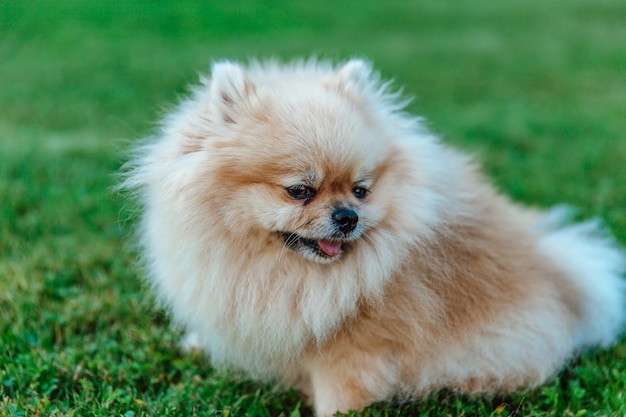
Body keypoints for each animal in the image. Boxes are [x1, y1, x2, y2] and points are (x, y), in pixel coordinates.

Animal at [123, 59, 624, 416]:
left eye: (361, 190)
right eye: (299, 191)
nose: (347, 216)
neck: (282, 270)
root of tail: (561, 274)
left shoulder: (356, 349)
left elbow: (340, 393)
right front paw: (198, 343)